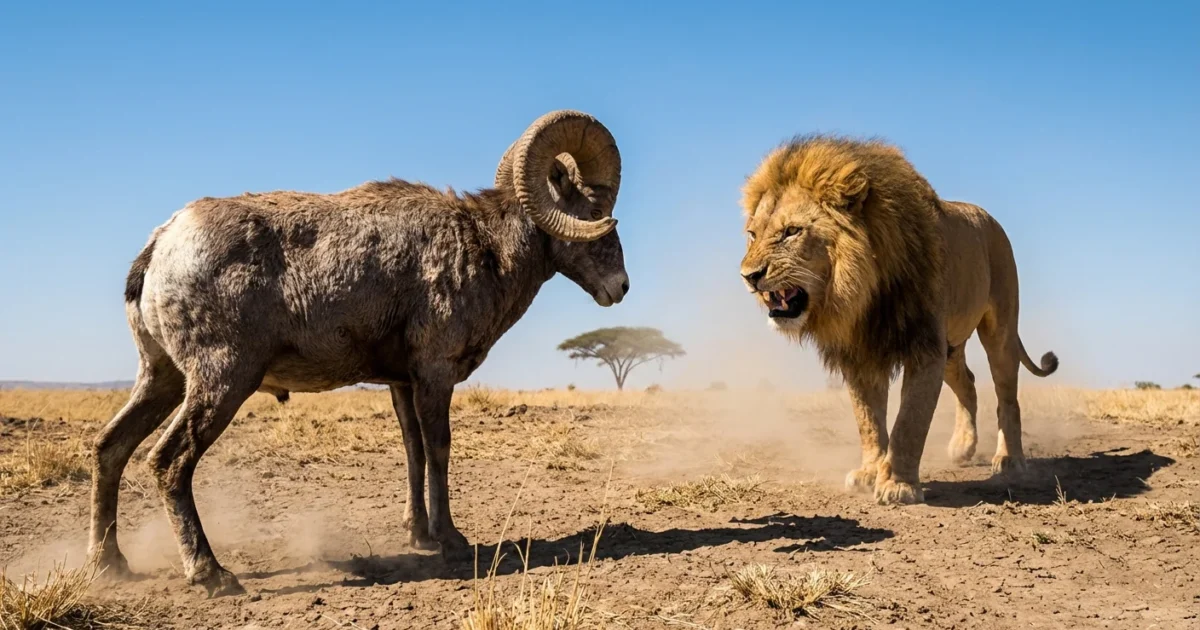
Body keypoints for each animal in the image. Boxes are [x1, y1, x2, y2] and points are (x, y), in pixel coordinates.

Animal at [738, 135, 1058, 505]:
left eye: (791, 231)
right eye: (752, 234)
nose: (749, 276)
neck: (860, 295)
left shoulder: (925, 347)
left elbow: (910, 421)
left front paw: (898, 484)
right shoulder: (861, 354)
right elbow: (868, 421)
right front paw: (870, 472)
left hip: (999, 329)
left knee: (1007, 396)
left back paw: (1009, 460)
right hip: (951, 347)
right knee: (968, 383)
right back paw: (963, 447)